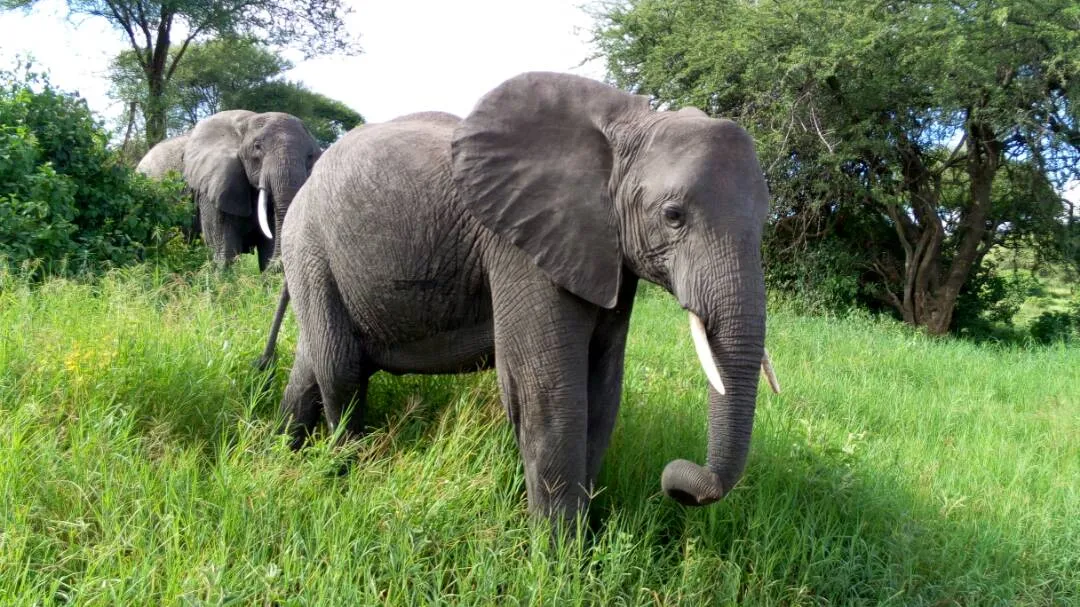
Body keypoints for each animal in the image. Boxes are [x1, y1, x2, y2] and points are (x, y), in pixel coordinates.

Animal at [259, 73, 781, 523]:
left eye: (765, 221)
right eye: (673, 216)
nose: (676, 482)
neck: (624, 131)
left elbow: (602, 388)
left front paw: (583, 543)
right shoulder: (520, 245)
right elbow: (546, 393)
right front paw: (559, 558)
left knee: (314, 362)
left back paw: (284, 455)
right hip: (309, 246)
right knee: (340, 366)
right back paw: (343, 474)